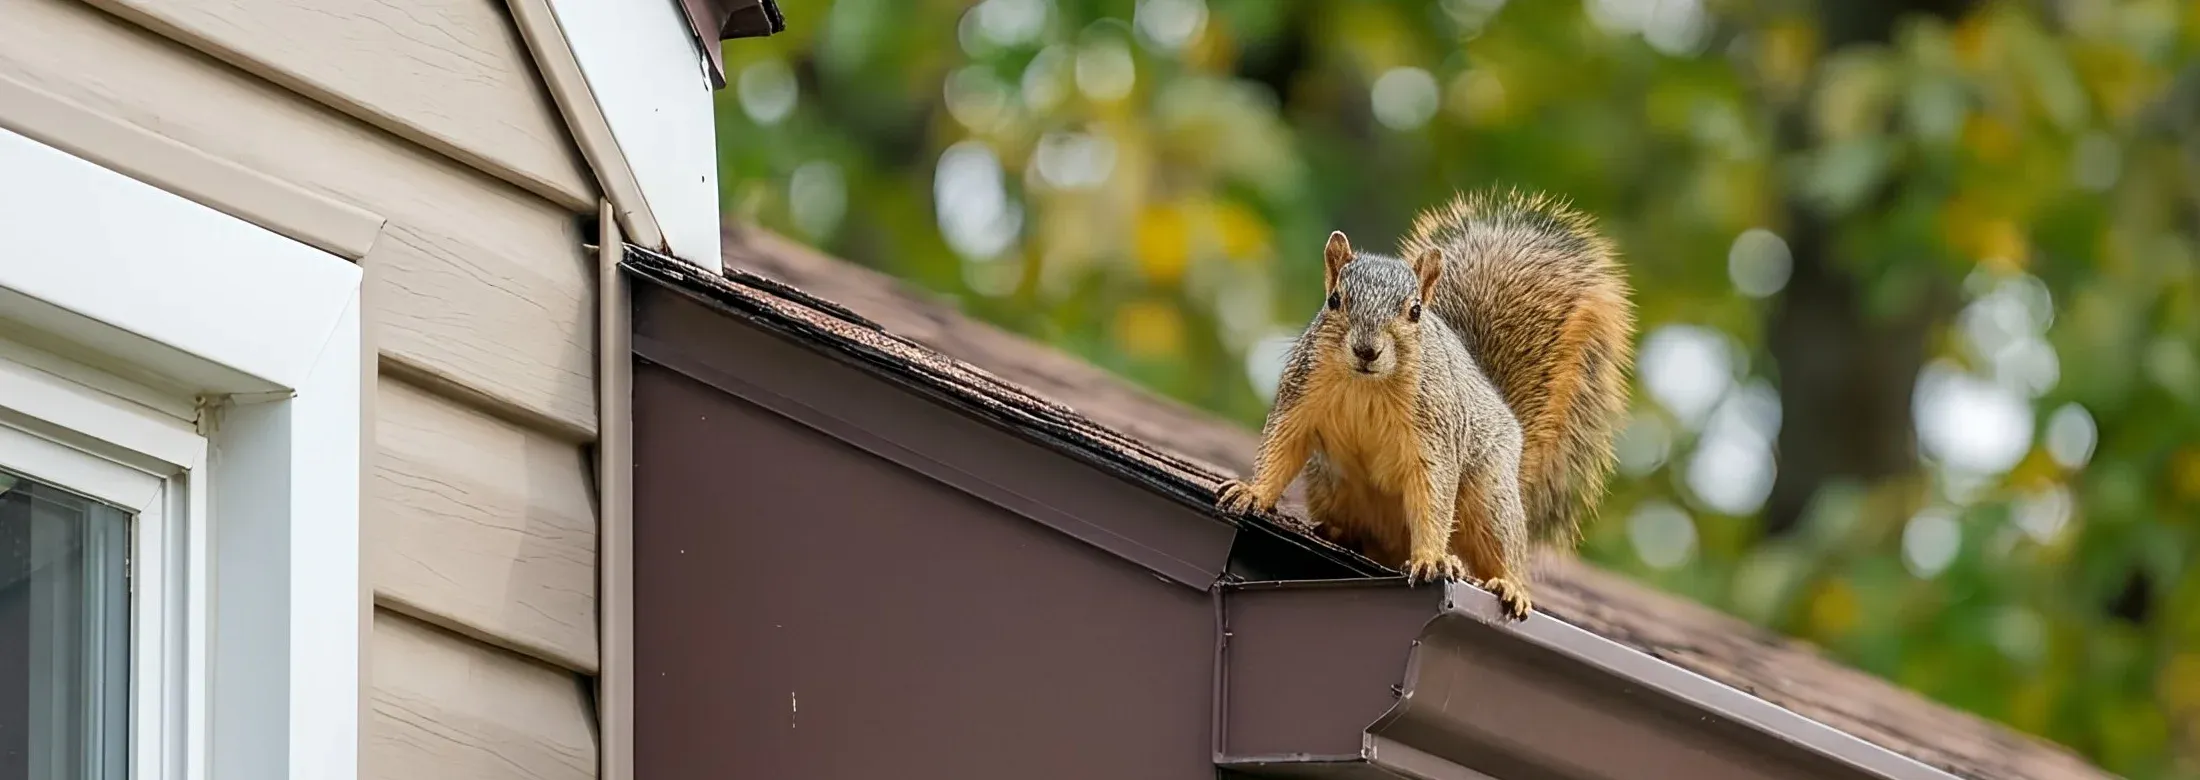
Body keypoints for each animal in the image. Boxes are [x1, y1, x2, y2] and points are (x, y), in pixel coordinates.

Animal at [1215, 188, 1635, 621]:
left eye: (1415, 311)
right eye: (1334, 300)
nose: (1366, 350)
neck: (1368, 386)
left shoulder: (1435, 432)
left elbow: (1432, 490)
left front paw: (1432, 558)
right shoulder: (1301, 393)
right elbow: (1281, 445)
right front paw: (1252, 493)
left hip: (1490, 497)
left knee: (1504, 548)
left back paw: (1509, 585)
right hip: (1329, 481)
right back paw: (1336, 531)